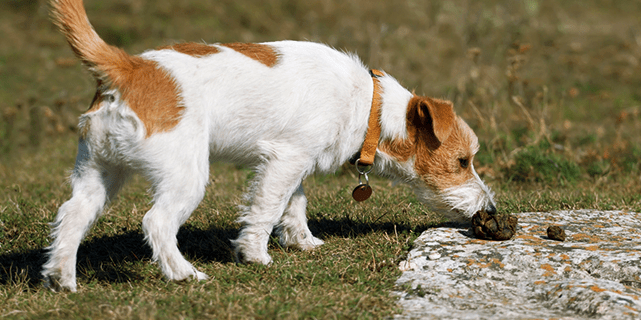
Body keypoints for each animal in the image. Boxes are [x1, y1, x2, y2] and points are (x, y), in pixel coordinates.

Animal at [42, 0, 498, 292]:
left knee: (72, 215)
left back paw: (63, 279)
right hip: (186, 175)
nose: (492, 210)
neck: (369, 106)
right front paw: (256, 255)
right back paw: (183, 274)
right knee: (156, 222)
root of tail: (128, 67)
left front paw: (303, 242)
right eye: (463, 161)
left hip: (99, 170)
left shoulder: (291, 160)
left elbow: (293, 204)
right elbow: (265, 209)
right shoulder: (286, 160)